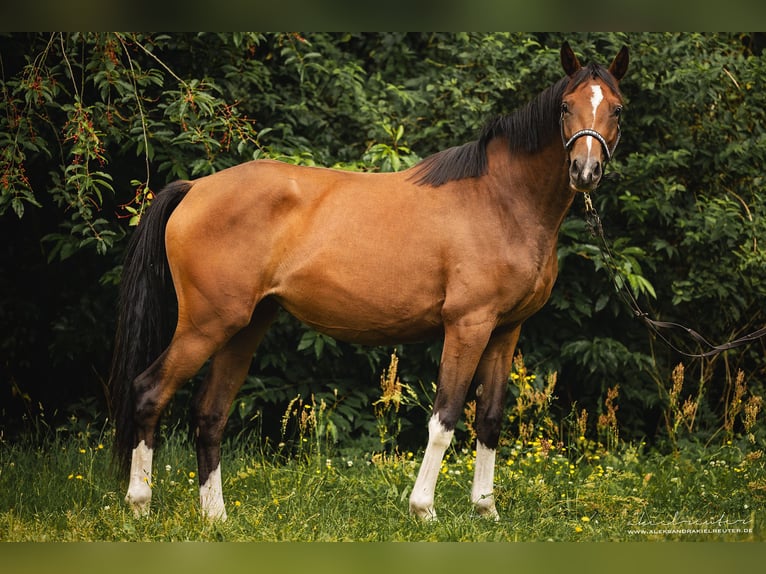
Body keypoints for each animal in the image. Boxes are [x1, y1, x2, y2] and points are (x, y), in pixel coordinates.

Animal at [111, 42, 632, 524]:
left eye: (617, 107)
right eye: (565, 106)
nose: (585, 171)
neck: (502, 200)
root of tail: (195, 188)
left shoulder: (505, 331)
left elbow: (489, 418)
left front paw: (486, 510)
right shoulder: (468, 325)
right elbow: (444, 418)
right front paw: (424, 509)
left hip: (245, 326)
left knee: (210, 413)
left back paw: (215, 516)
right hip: (206, 325)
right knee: (149, 393)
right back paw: (139, 506)